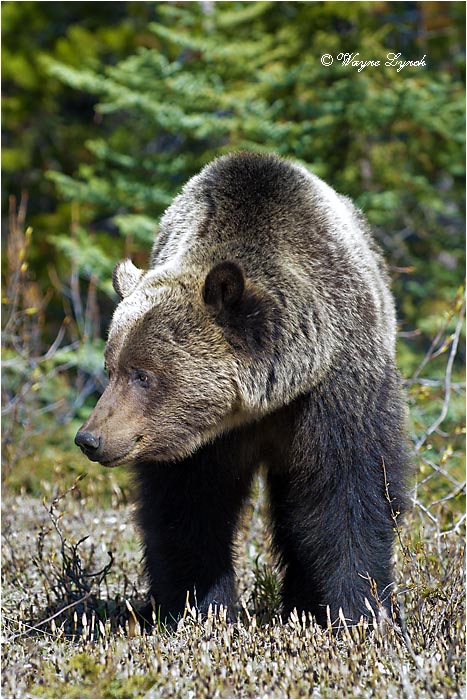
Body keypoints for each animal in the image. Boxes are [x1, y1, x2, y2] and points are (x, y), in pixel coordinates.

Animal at [75, 151, 410, 627]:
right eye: (112, 368)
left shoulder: (338, 384)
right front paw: (200, 605)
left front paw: (360, 609)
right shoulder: (199, 440)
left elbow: (347, 491)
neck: (268, 399)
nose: (90, 438)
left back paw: (302, 602)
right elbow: (189, 506)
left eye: (143, 374)